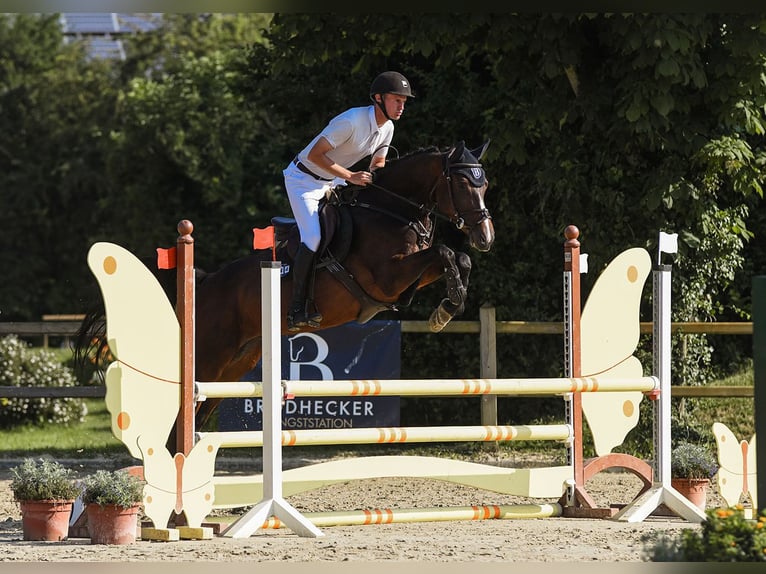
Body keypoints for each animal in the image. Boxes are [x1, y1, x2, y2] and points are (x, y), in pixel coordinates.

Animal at [75, 143, 496, 432]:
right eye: (462, 182)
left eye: (485, 183)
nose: (485, 236)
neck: (391, 211)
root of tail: (205, 284)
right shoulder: (387, 278)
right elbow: (445, 251)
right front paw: (448, 307)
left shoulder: (407, 276)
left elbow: (455, 258)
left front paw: (448, 305)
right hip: (210, 354)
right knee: (182, 412)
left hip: (237, 362)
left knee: (199, 410)